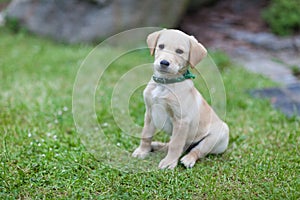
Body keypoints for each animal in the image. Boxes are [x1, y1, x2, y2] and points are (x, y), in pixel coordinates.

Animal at [132, 28, 229, 169]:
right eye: (161, 46)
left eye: (179, 51)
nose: (164, 63)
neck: (164, 84)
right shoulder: (150, 113)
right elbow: (146, 135)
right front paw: (142, 151)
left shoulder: (182, 121)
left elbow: (175, 145)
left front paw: (169, 163)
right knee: (175, 146)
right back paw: (157, 146)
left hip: (215, 138)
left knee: (196, 151)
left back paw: (188, 159)